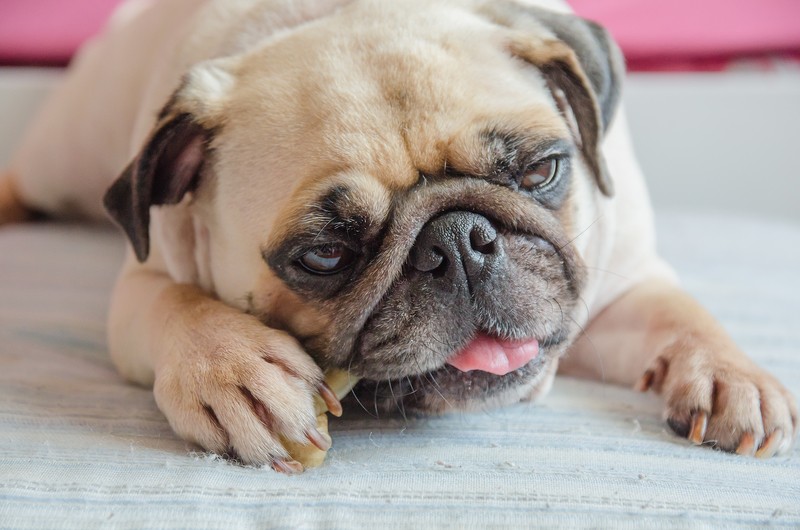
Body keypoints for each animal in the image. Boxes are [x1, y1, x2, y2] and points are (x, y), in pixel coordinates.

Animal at [3, 0, 796, 470]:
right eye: (325, 255)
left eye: (541, 170)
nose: (461, 240)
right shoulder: (143, 279)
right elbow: (173, 304)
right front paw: (233, 370)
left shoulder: (625, 281)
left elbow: (681, 314)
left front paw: (731, 375)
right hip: (65, 157)